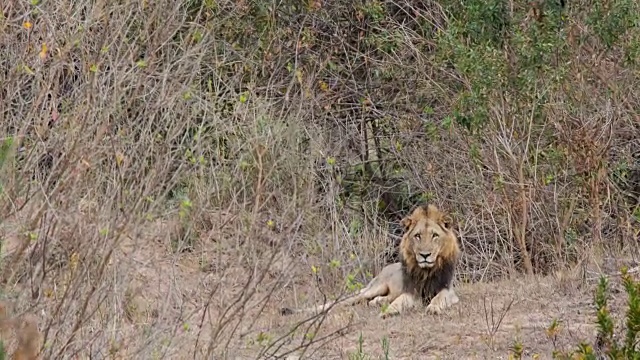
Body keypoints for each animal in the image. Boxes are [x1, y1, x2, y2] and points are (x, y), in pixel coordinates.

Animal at [280, 204, 460, 320]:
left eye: (435, 235)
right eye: (418, 236)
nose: (425, 255)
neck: (426, 271)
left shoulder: (448, 290)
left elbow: (439, 298)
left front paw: (434, 308)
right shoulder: (412, 292)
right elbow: (399, 301)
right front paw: (388, 311)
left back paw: (379, 302)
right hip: (373, 288)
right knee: (349, 300)